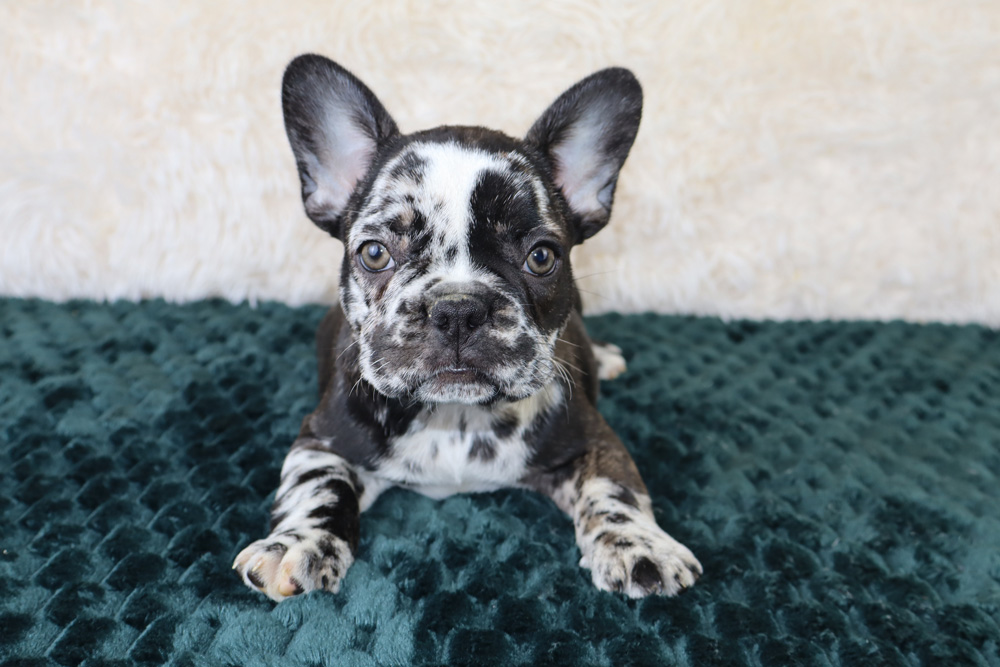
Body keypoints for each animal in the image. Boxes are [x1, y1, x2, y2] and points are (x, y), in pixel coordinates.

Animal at [233, 55, 702, 601]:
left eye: (541, 257)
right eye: (375, 252)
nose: (457, 309)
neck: (454, 418)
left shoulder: (594, 439)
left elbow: (615, 486)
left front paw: (637, 545)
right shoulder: (320, 440)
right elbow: (317, 487)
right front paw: (297, 542)